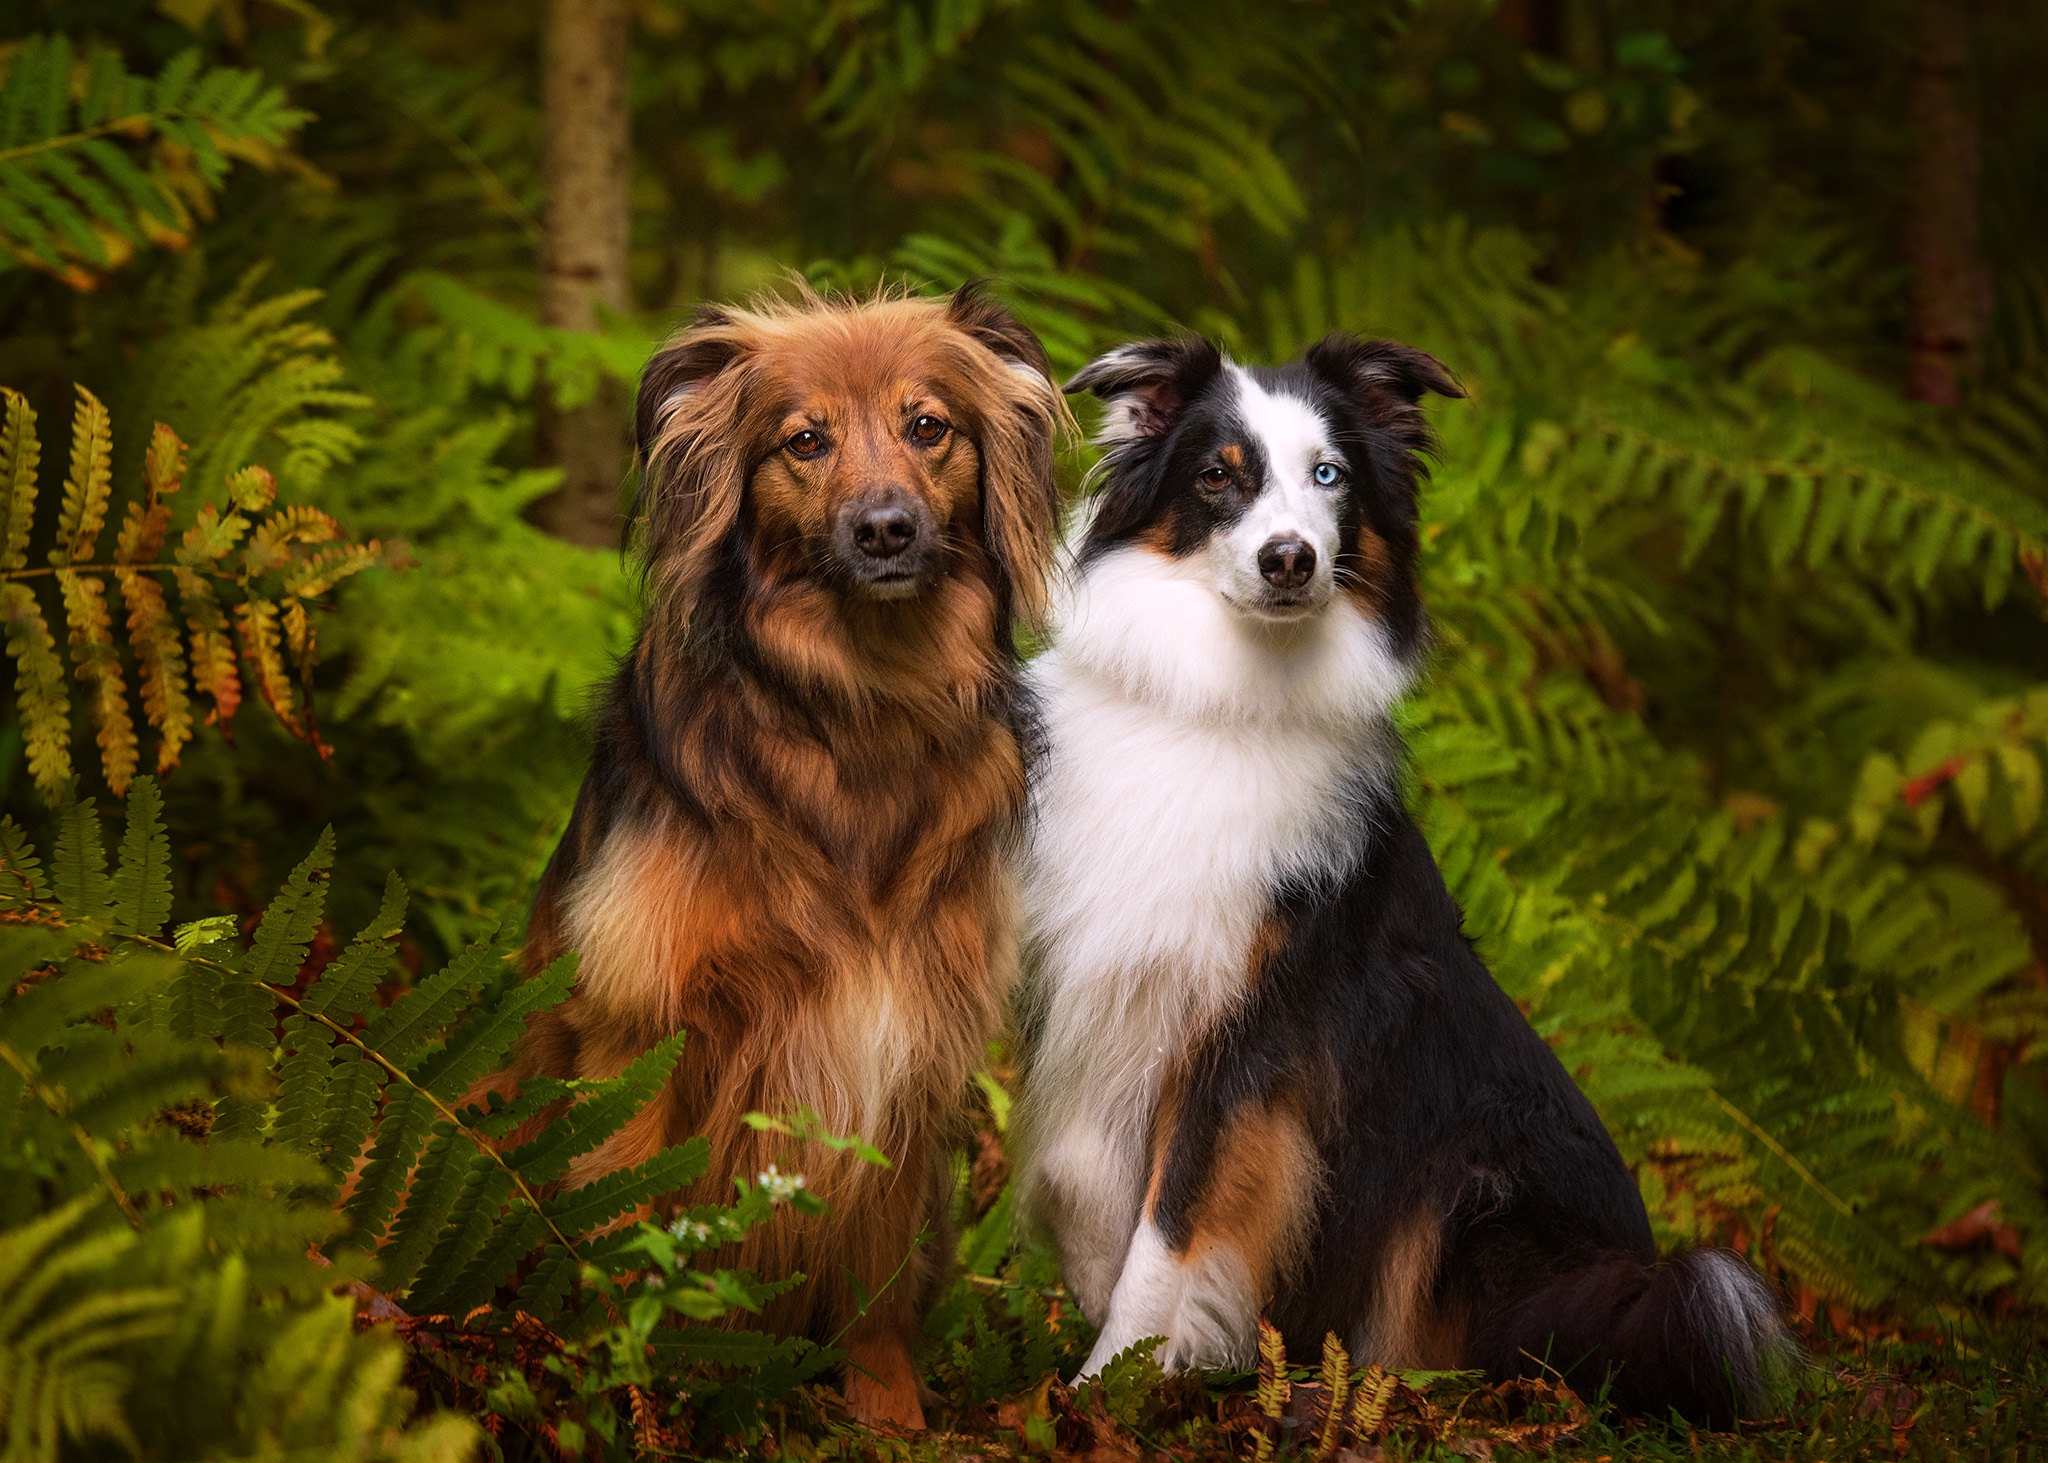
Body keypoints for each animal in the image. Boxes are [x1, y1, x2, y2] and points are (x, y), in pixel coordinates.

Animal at [493, 284, 1064, 1426]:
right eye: (804, 441)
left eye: (928, 426)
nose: (886, 528)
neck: (857, 709)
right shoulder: (643, 1020)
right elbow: (628, 1221)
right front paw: (633, 1391)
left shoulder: (901, 1033)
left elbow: (873, 1274)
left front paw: (890, 1414)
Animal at [1015, 336, 1785, 1417]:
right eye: (1217, 474)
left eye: (1329, 475)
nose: (1289, 558)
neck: (1219, 704)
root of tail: (1629, 1272)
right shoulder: (1091, 970)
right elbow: (1072, 1169)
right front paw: (1120, 1322)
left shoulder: (1256, 1031)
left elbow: (1174, 1224)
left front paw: (1116, 1377)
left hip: (1477, 1181)